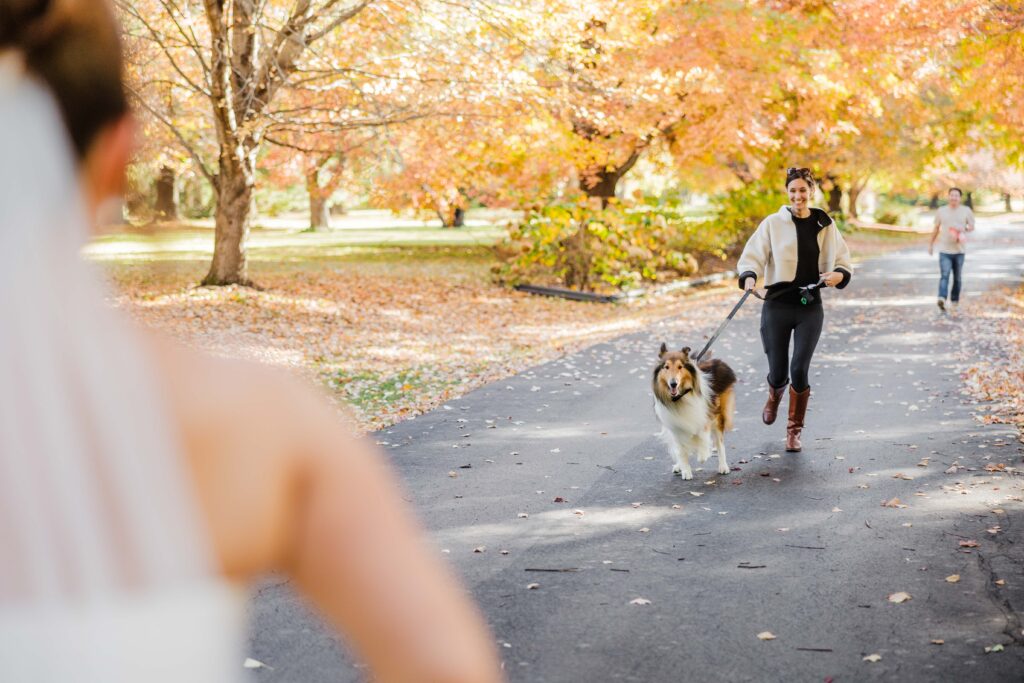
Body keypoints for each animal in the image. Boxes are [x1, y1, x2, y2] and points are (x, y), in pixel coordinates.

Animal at [655, 342, 737, 481]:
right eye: (666, 367)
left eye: (680, 367)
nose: (673, 384)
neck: (681, 398)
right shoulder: (675, 426)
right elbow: (681, 450)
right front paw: (685, 470)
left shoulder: (704, 416)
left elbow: (703, 436)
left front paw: (703, 455)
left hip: (719, 415)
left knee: (720, 443)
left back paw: (723, 466)